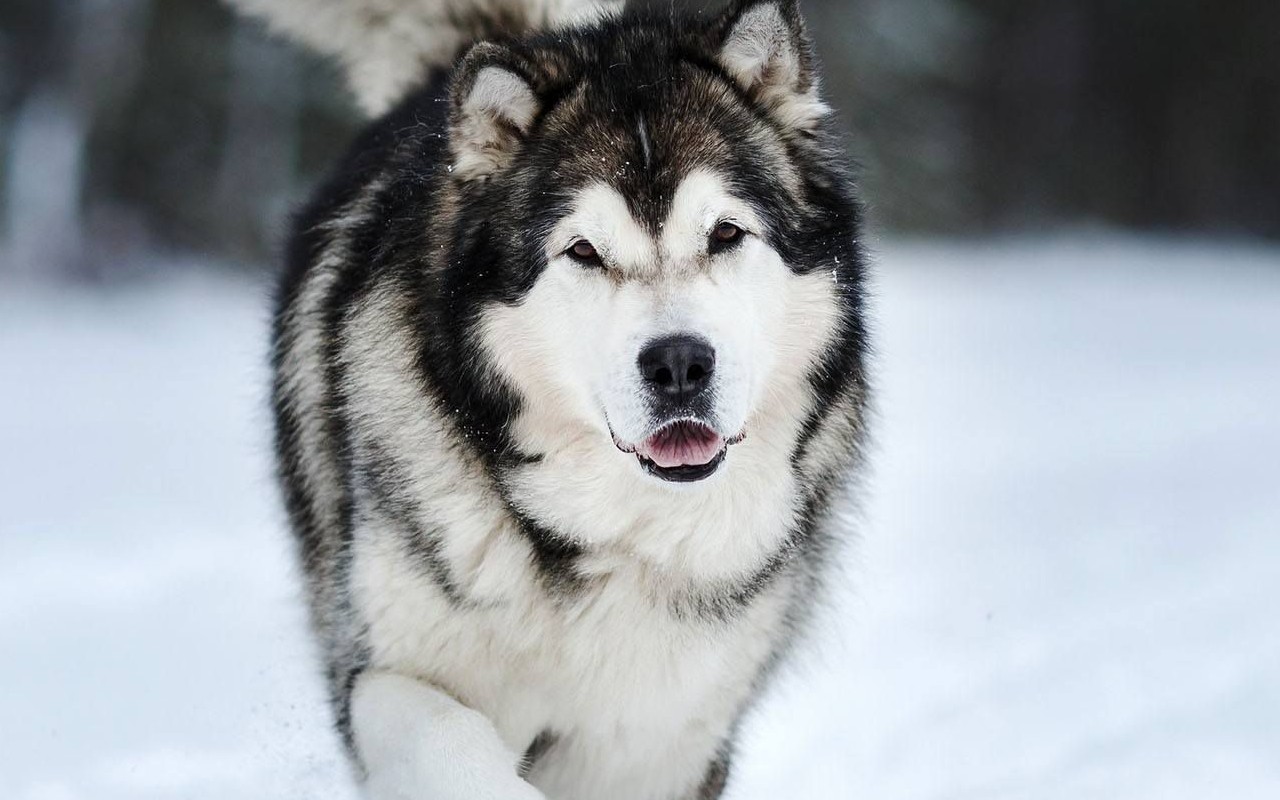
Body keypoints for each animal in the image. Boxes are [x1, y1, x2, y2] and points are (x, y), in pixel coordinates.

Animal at [230, 0, 870, 793]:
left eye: (725, 233)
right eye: (584, 251)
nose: (680, 364)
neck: (602, 536)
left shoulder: (657, 744)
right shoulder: (382, 674)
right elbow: (451, 743)